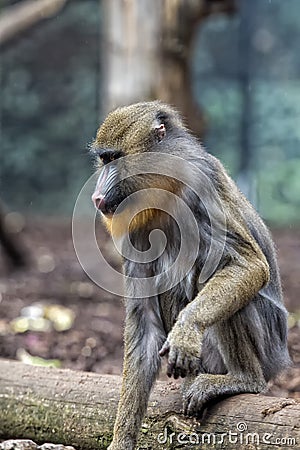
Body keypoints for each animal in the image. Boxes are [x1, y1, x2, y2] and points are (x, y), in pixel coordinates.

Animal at [90, 102, 290, 450]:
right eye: (103, 160)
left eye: (115, 158)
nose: (97, 197)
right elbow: (143, 323)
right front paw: (121, 439)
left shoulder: (200, 184)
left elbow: (249, 265)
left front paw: (187, 329)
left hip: (263, 348)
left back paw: (243, 379)